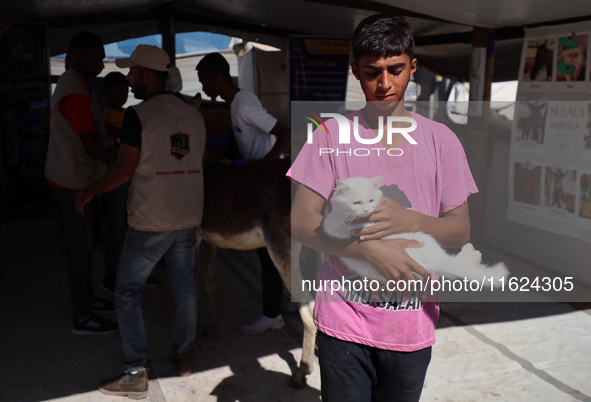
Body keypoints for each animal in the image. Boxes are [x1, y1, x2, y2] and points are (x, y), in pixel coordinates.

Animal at [322, 176, 512, 286]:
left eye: (370, 200)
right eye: (356, 203)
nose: (366, 210)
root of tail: (423, 264)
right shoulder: (334, 226)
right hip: (426, 240)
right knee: (450, 263)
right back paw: (472, 255)